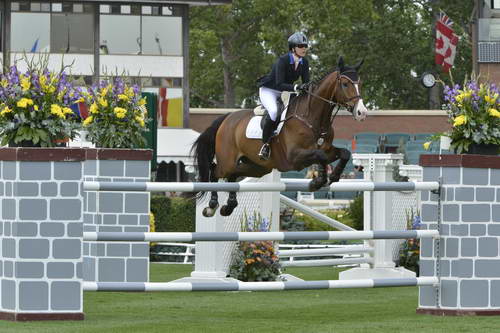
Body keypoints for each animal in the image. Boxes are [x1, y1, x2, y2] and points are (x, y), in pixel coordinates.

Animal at [191, 55, 368, 217]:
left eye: (360, 84)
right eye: (345, 84)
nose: (362, 113)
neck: (312, 118)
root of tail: (226, 118)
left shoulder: (327, 149)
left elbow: (344, 153)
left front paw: (334, 176)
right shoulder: (294, 157)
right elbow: (321, 156)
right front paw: (317, 182)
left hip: (257, 167)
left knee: (232, 175)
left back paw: (229, 206)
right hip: (228, 161)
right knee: (215, 171)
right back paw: (212, 206)